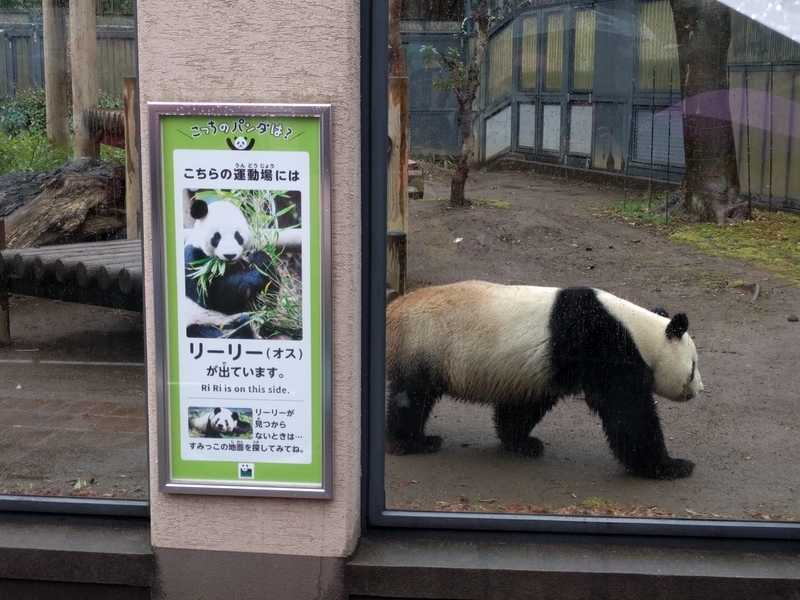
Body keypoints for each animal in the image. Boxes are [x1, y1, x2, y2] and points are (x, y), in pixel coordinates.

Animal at [184, 198, 278, 336]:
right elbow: (211, 296)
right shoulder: (193, 260)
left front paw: (260, 260)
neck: (226, 266)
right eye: (217, 236)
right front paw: (252, 277)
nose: (230, 255)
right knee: (203, 332)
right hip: (203, 320)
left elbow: (270, 293)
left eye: (237, 235)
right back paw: (243, 327)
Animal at [388, 278, 708, 480]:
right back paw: (415, 441)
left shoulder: (539, 370)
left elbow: (524, 406)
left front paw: (523, 442)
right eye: (693, 367)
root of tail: (393, 311)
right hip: (424, 344)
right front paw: (672, 466)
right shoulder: (601, 344)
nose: (699, 389)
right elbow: (628, 410)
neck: (638, 331)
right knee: (412, 399)